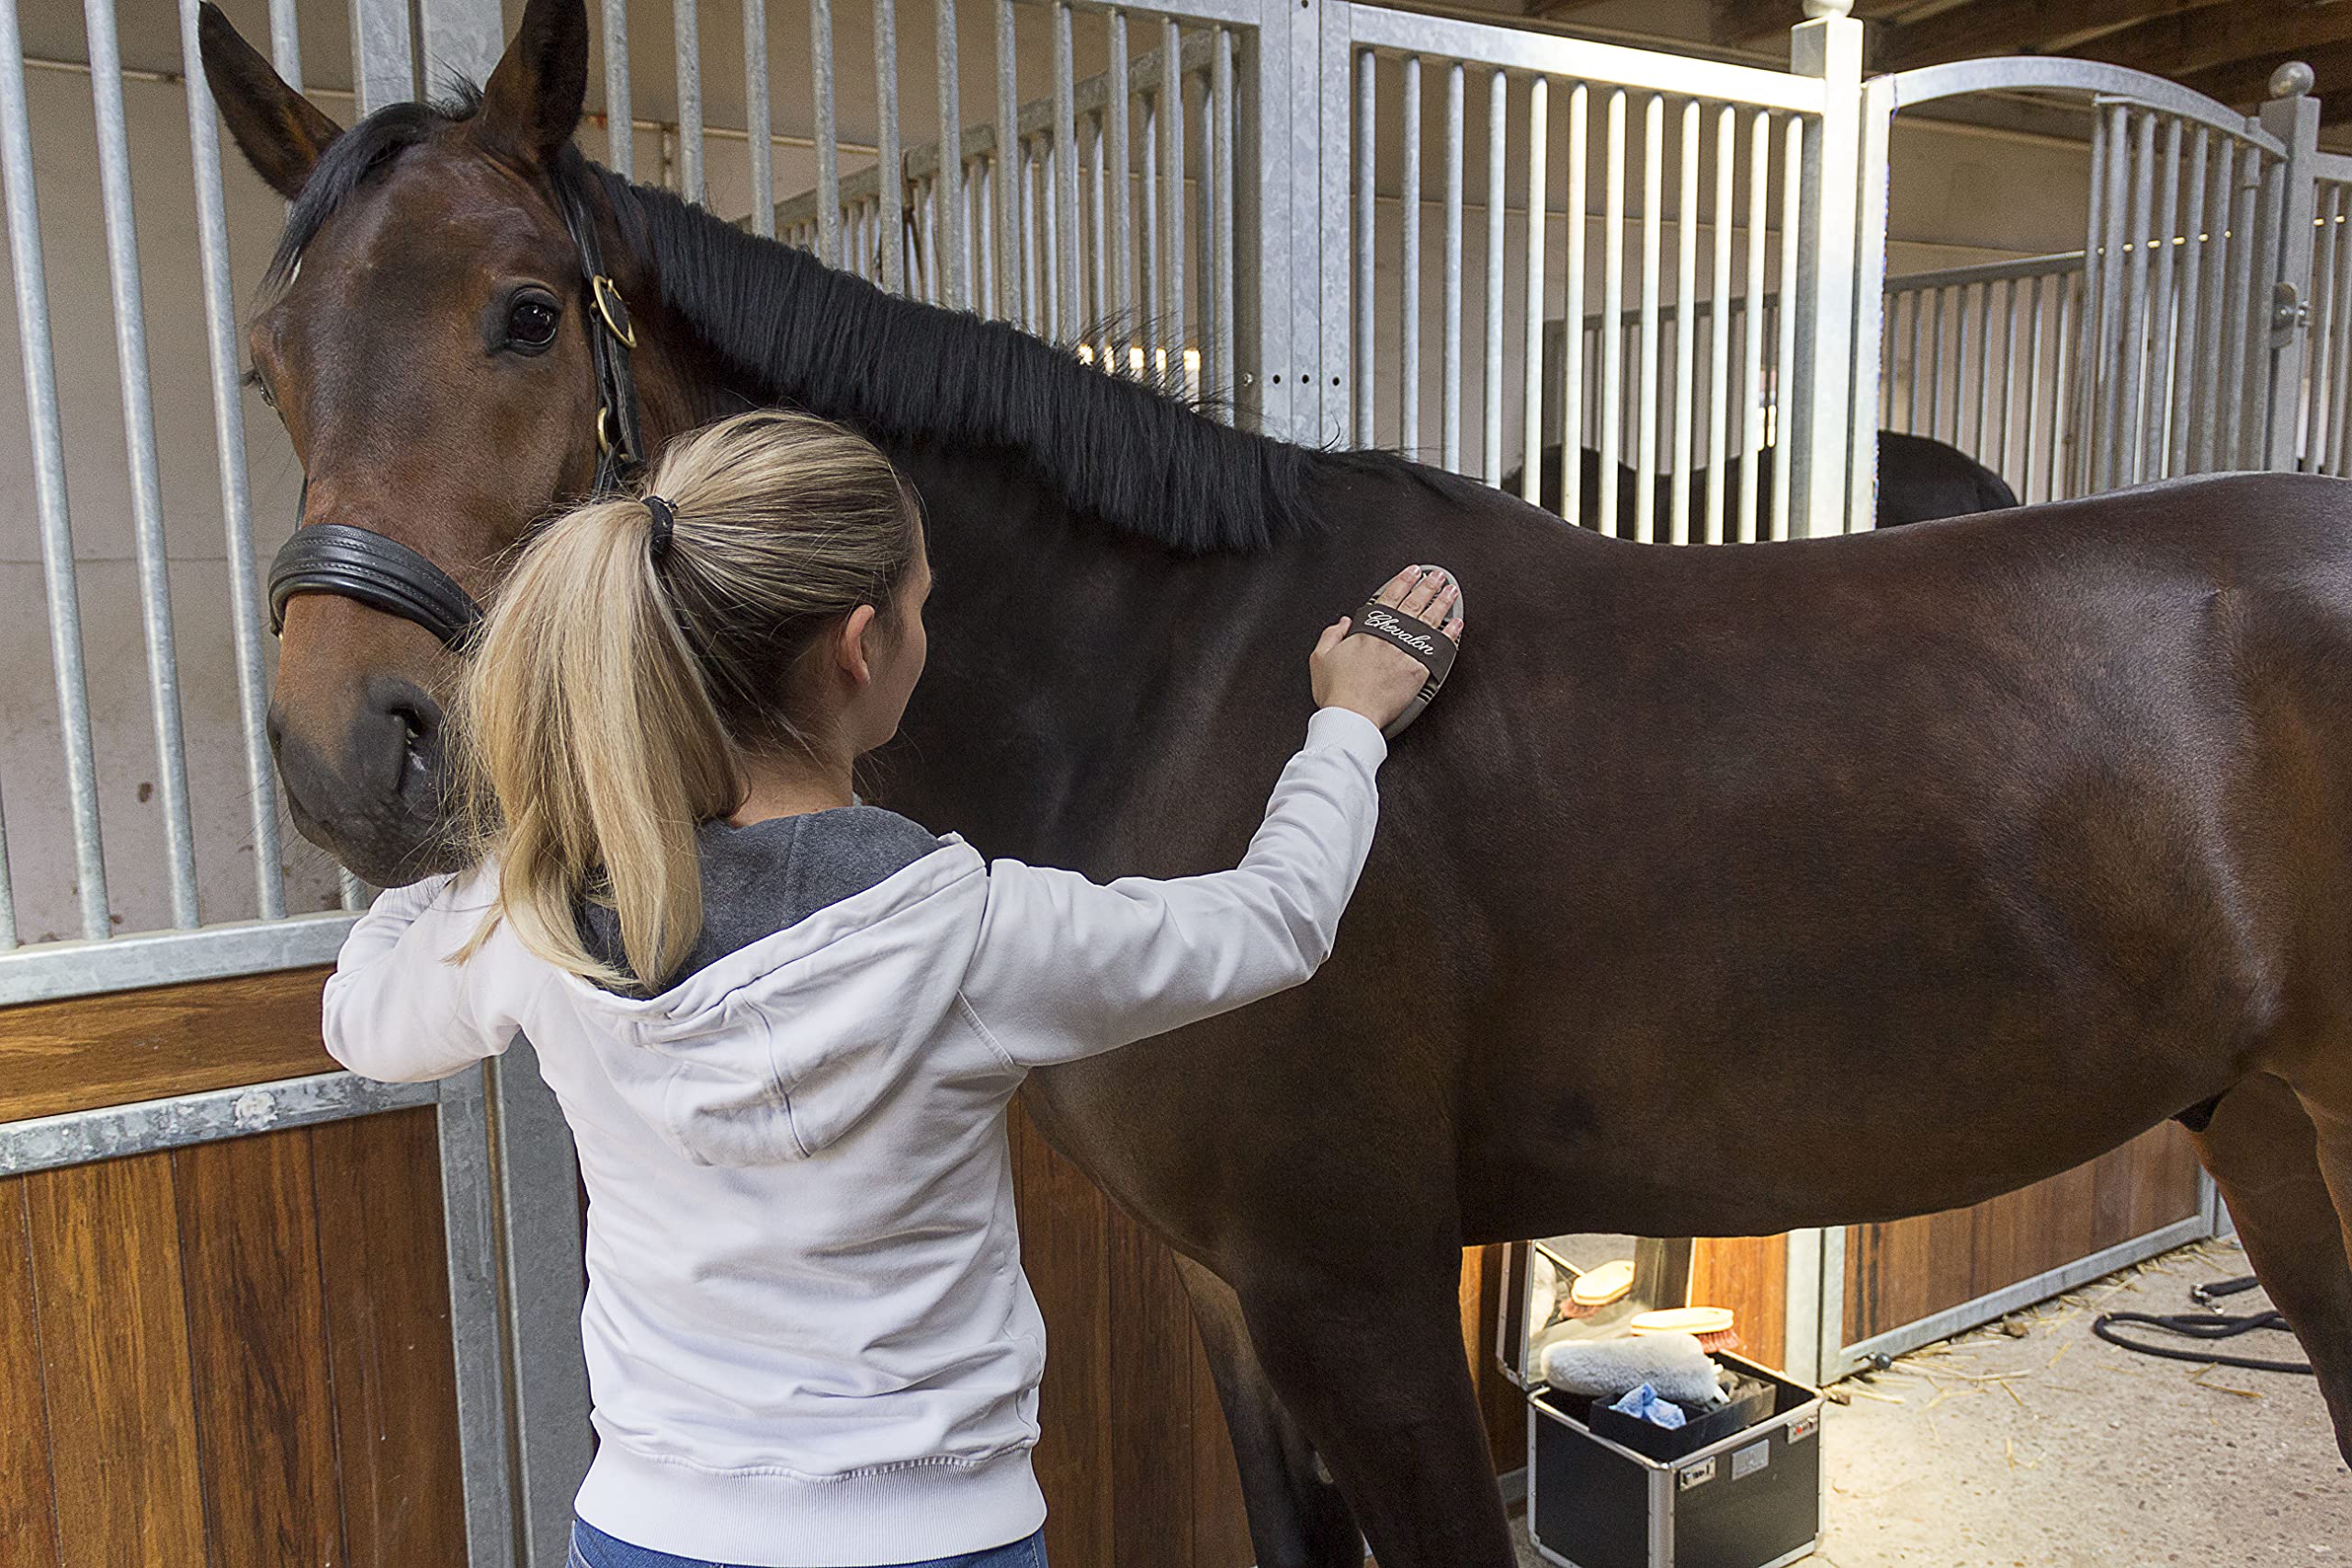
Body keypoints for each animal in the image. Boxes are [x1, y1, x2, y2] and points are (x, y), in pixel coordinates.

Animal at [198, 2, 2352, 1563]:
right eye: (267, 363)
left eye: (523, 314)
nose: (351, 752)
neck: (1168, 694)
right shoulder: (1235, 1293)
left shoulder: (1363, 1289)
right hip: (2269, 1136)